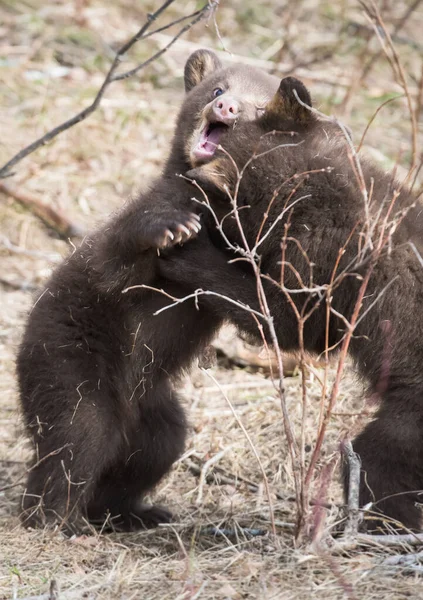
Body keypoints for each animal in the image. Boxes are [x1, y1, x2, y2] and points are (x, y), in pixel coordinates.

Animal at [16, 51, 280, 536]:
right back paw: (57, 517)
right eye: (218, 88)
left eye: (259, 108)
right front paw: (168, 226)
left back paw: (134, 512)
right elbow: (113, 263)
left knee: (152, 450)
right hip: (68, 358)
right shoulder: (122, 253)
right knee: (78, 433)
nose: (226, 107)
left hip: (154, 407)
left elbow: (260, 310)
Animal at [158, 77, 423, 532]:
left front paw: (187, 251)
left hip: (412, 411)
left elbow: (286, 319)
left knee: (379, 459)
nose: (224, 106)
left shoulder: (322, 258)